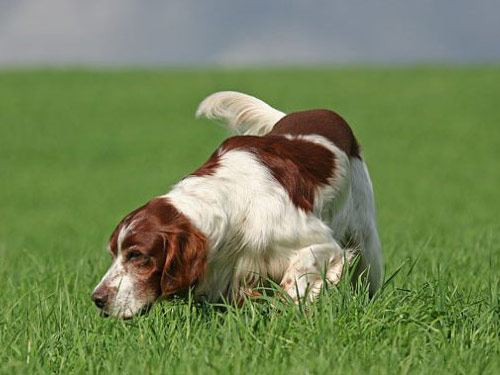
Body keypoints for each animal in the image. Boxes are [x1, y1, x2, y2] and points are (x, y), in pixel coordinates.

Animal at [91, 91, 382, 318]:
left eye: (136, 255)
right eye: (114, 254)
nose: (97, 299)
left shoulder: (322, 245)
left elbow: (293, 284)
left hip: (367, 244)